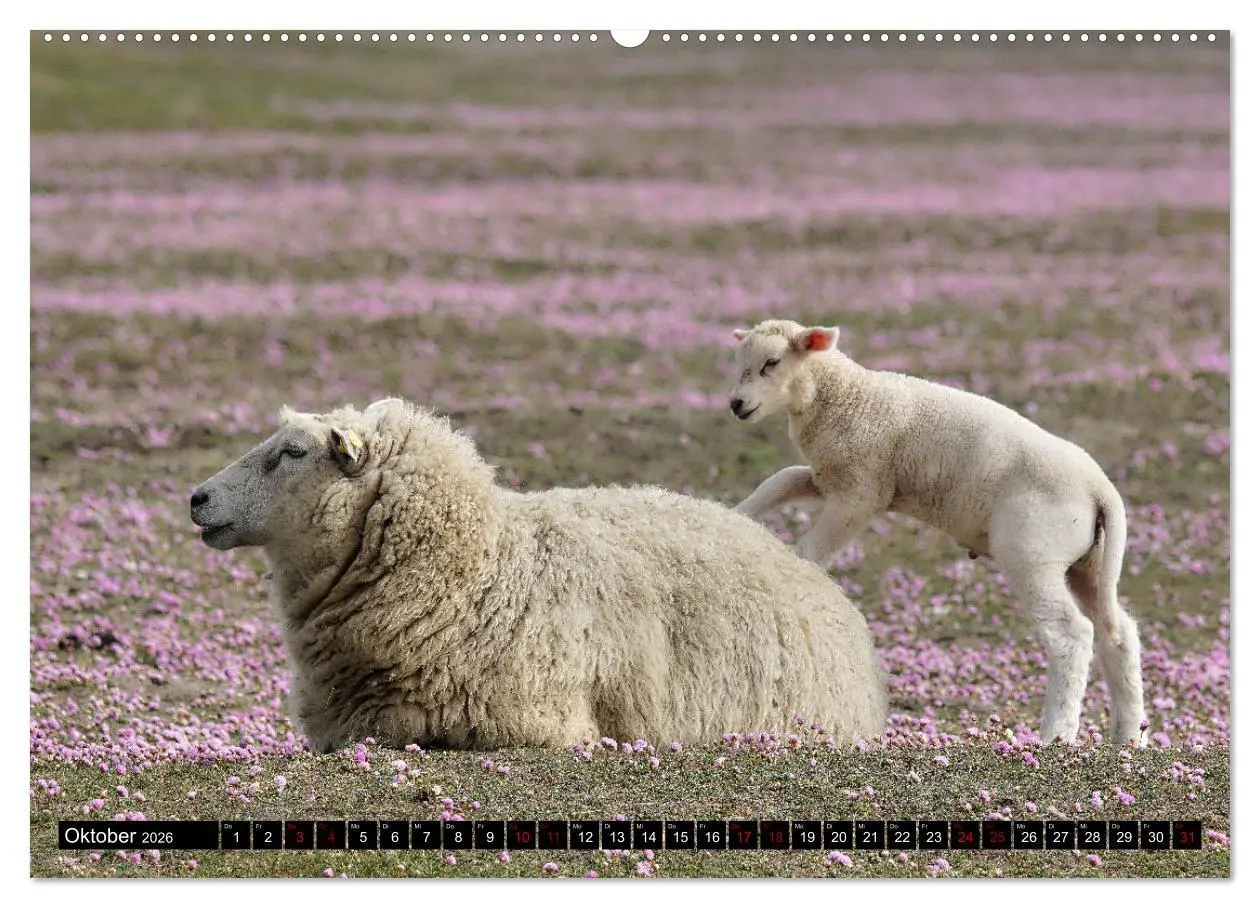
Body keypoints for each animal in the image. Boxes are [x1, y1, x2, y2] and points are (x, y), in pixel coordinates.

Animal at [727, 319, 1146, 748]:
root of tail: (1101, 490)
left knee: (1071, 634)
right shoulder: (827, 477)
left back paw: (1055, 735)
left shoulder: (862, 491)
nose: (736, 405)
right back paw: (1129, 735)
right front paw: (735, 516)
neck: (845, 397)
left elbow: (811, 548)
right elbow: (780, 481)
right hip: (1090, 563)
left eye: (772, 363)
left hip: (1032, 553)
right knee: (1118, 633)